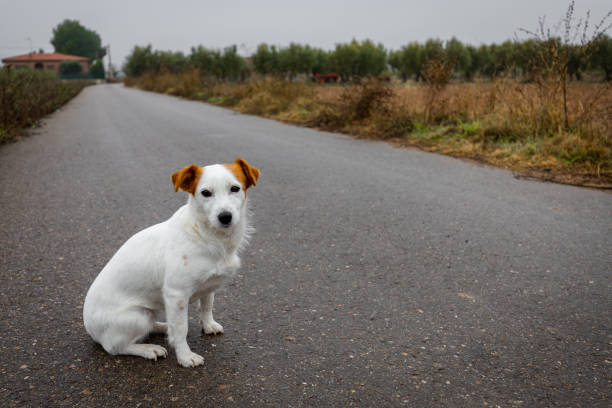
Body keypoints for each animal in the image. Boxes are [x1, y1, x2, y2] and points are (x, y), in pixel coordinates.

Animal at [83, 157, 258, 366]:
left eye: (235, 188)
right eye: (205, 193)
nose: (225, 217)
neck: (209, 236)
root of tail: (89, 328)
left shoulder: (209, 286)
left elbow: (207, 306)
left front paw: (208, 325)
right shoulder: (177, 295)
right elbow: (181, 329)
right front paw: (185, 357)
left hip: (148, 314)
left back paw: (163, 327)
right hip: (138, 316)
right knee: (115, 347)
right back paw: (148, 349)